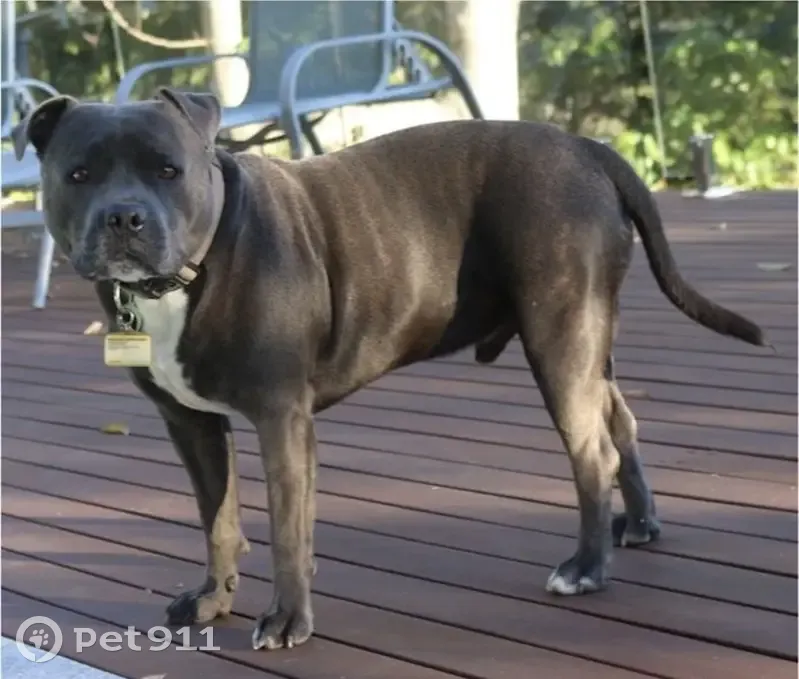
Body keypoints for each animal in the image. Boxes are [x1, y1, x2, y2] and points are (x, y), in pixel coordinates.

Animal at [12, 87, 767, 651]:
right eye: (78, 174)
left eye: (168, 169)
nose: (125, 217)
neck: (191, 271)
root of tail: (585, 147)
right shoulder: (191, 425)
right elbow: (218, 520)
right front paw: (211, 599)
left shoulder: (281, 419)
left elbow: (288, 527)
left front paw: (288, 619)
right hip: (587, 341)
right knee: (620, 420)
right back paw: (637, 524)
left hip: (559, 336)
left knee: (591, 453)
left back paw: (585, 569)